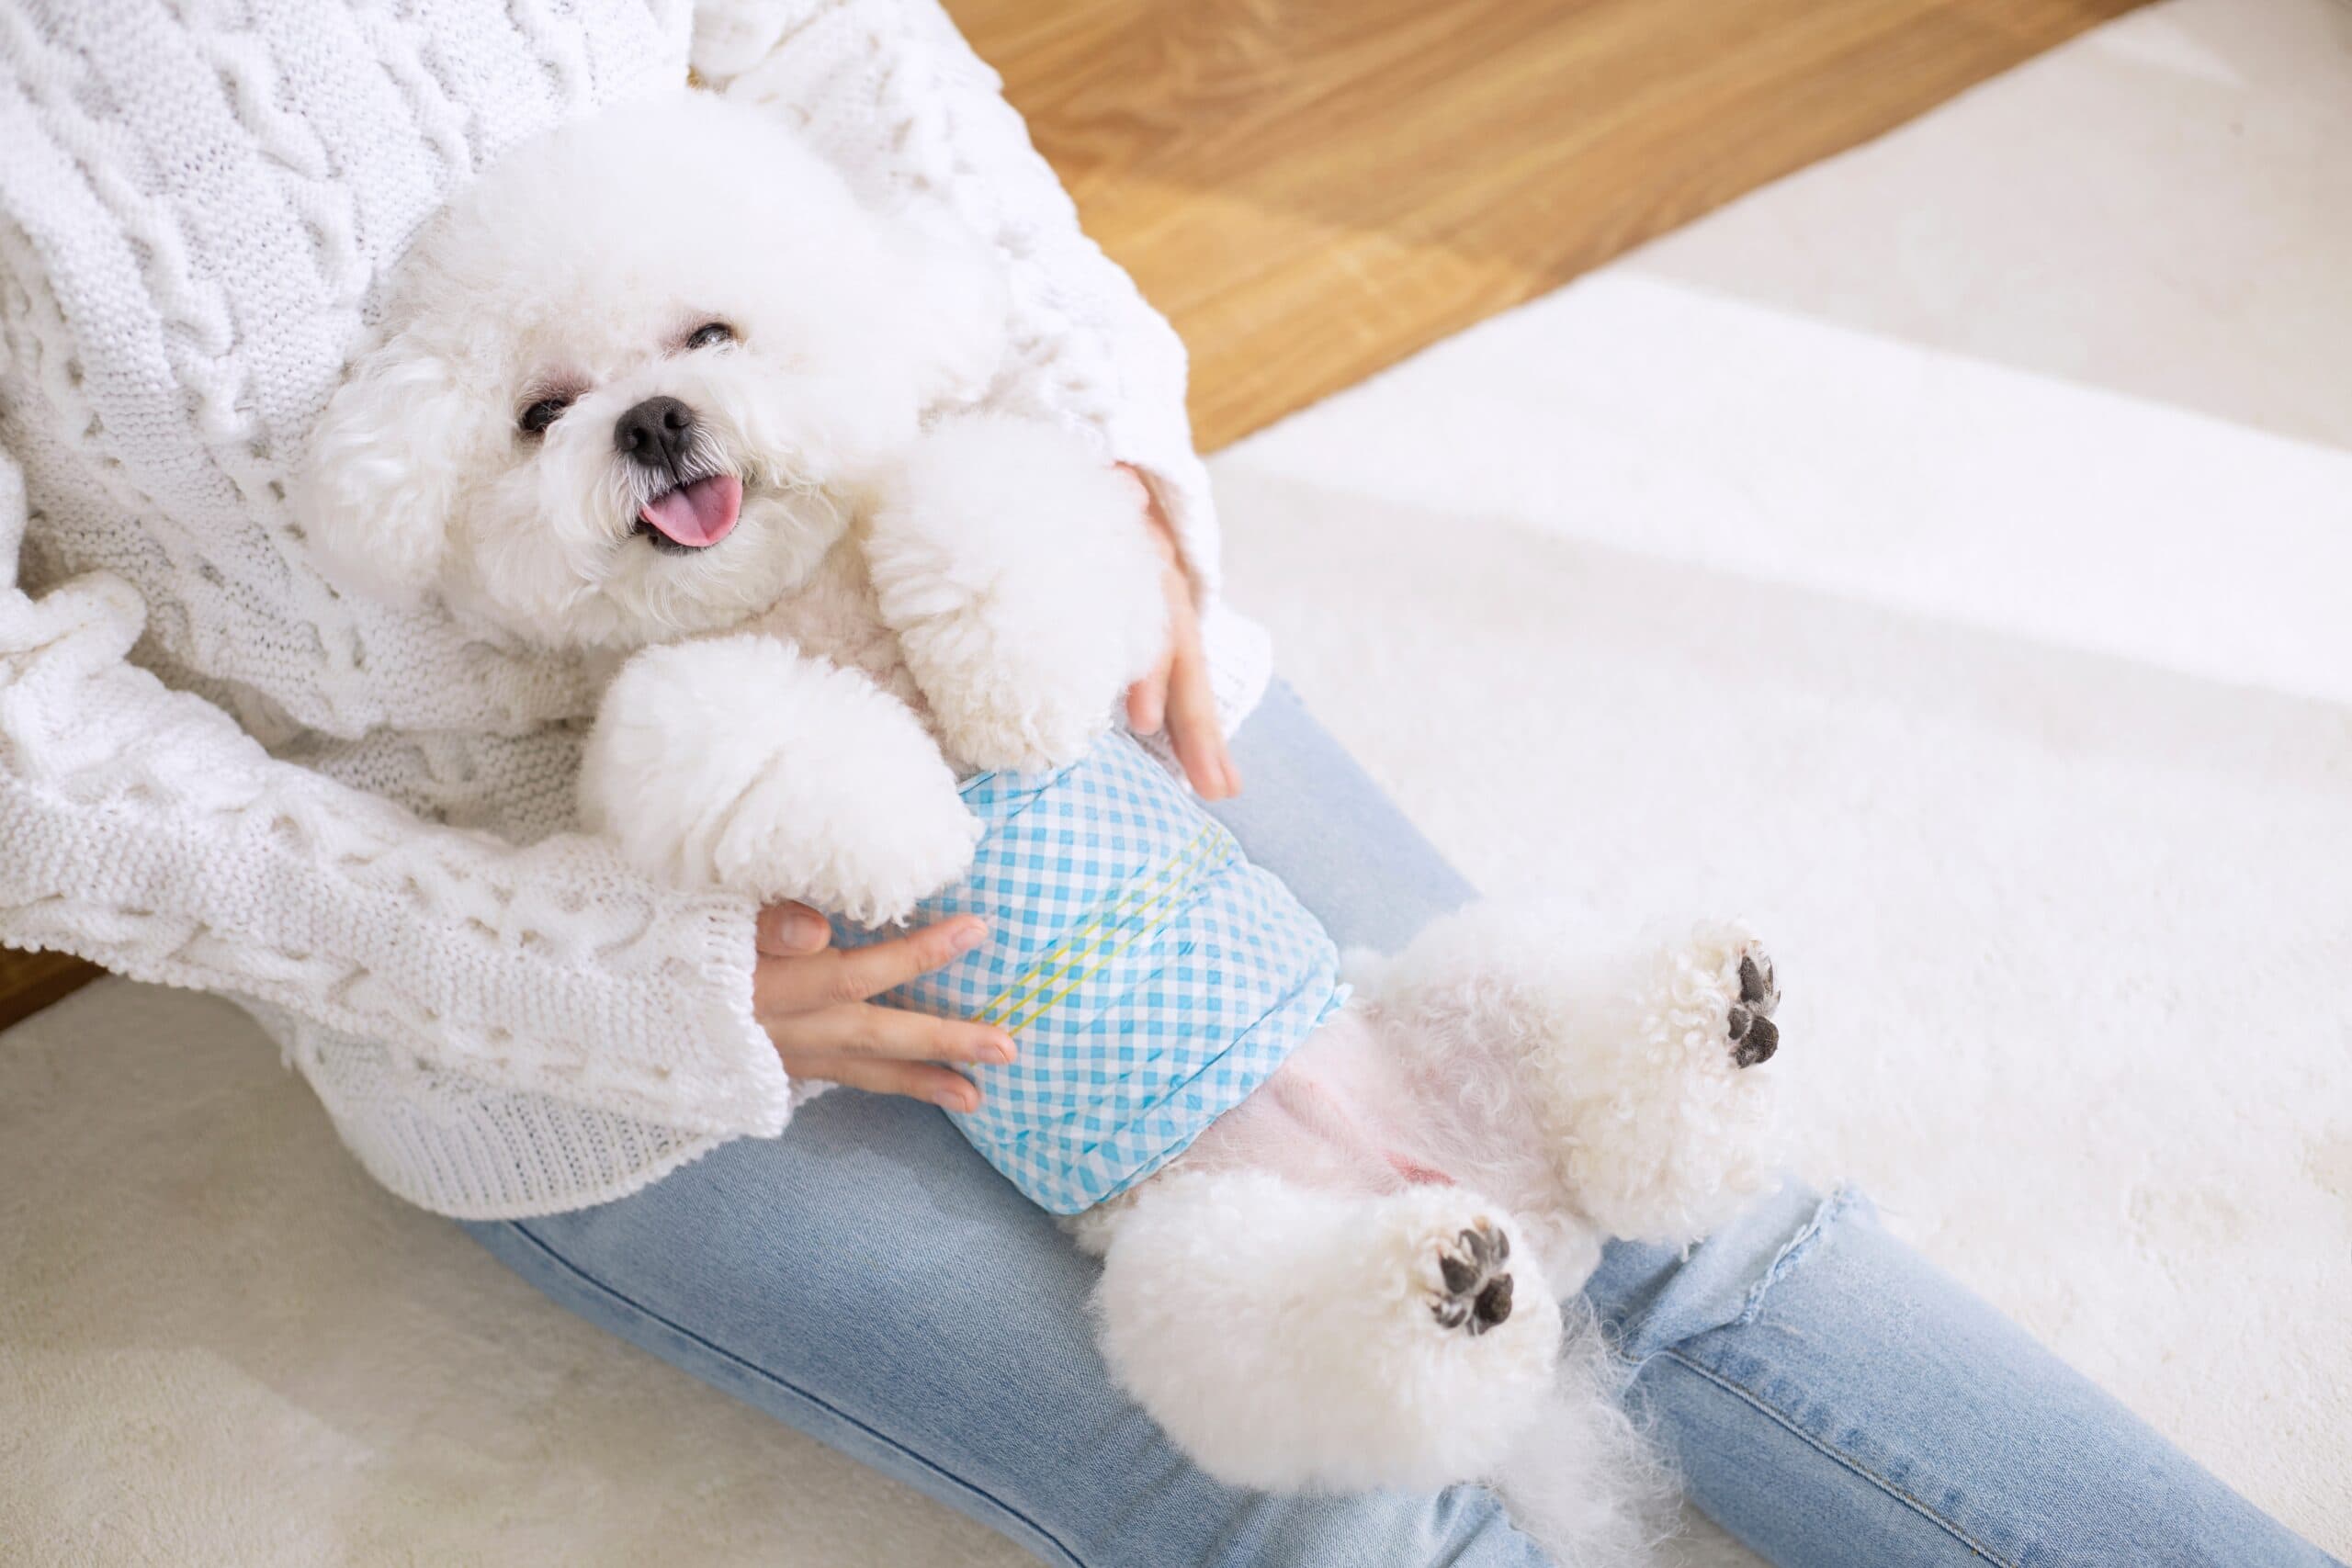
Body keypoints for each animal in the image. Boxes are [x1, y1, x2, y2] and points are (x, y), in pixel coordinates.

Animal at [299, 88, 1778, 1568]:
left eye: (710, 336)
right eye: (542, 414)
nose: (652, 421)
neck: (809, 602)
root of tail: (1500, 1206)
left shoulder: (1057, 560)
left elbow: (985, 514)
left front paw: (994, 704)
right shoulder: (657, 737)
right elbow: (745, 726)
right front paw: (917, 827)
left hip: (1479, 992)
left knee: (1629, 1108)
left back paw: (1726, 1019)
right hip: (1196, 1277)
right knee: (1352, 1341)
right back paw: (1455, 1286)